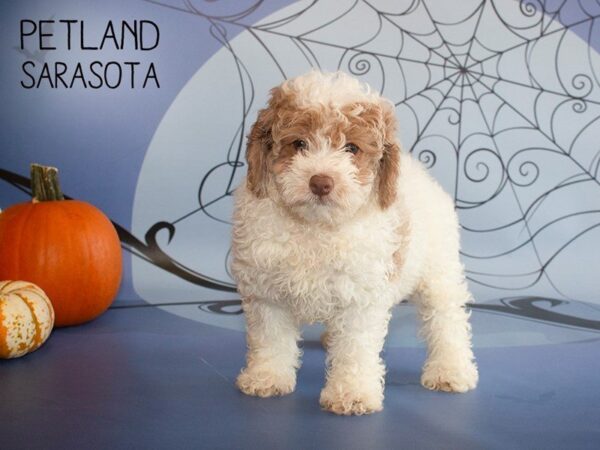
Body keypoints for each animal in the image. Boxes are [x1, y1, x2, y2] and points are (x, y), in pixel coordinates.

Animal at [230, 71, 478, 414]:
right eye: (299, 144)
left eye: (351, 148)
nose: (320, 182)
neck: (316, 228)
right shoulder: (267, 292)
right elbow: (271, 340)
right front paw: (266, 377)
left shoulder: (361, 298)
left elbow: (355, 349)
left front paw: (352, 393)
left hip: (438, 271)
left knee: (447, 319)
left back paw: (451, 370)